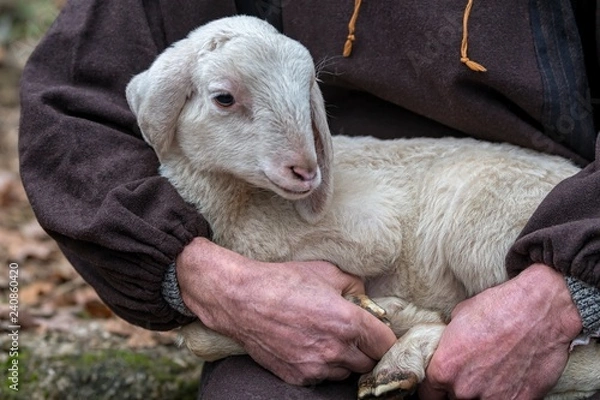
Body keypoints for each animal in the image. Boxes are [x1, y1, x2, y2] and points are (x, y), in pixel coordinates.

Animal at [124, 14, 596, 400]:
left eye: (307, 94)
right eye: (224, 98)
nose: (307, 171)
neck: (238, 205)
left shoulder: (372, 229)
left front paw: (389, 314)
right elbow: (198, 336)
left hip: (479, 231)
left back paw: (398, 362)